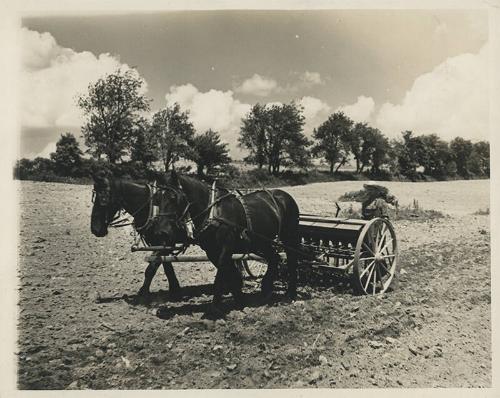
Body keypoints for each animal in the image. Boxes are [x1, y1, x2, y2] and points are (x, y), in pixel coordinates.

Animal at [91, 169, 183, 300]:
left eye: (103, 199)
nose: (95, 229)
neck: (151, 208)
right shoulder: (159, 243)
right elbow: (167, 265)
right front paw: (175, 290)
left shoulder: (165, 242)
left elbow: (152, 268)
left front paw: (143, 293)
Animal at [154, 169, 298, 316]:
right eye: (157, 199)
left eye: (173, 198)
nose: (161, 232)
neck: (213, 213)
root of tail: (284, 195)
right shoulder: (212, 251)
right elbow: (231, 274)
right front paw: (240, 301)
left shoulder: (226, 248)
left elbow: (221, 276)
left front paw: (214, 310)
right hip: (261, 242)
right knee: (274, 258)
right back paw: (266, 288)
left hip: (289, 237)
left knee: (292, 260)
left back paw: (290, 293)